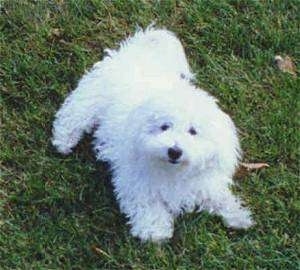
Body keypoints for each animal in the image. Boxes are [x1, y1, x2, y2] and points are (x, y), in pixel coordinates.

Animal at [51, 26, 253, 243]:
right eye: (164, 127)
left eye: (193, 131)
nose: (174, 151)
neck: (171, 171)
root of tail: (135, 52)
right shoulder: (137, 182)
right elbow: (148, 206)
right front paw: (155, 232)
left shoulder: (202, 183)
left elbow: (218, 196)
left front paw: (239, 216)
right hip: (88, 100)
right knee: (72, 116)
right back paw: (63, 141)